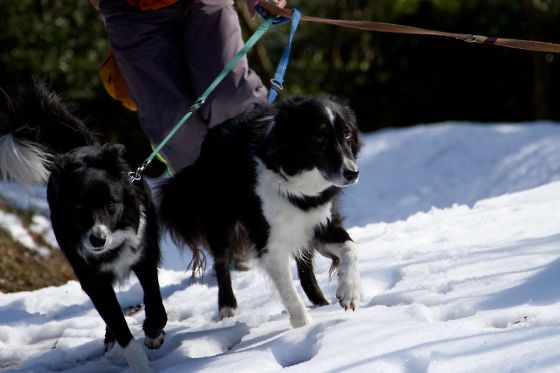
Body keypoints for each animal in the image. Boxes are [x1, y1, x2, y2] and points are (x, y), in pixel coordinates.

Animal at [0, 83, 166, 370]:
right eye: (78, 207)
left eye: (111, 204)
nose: (97, 240)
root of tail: (80, 148)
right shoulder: (92, 279)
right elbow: (119, 324)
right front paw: (140, 364)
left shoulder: (144, 254)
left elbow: (153, 298)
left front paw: (154, 332)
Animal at [160, 95, 360, 326]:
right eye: (319, 137)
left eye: (347, 134)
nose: (352, 173)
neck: (298, 182)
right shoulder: (268, 240)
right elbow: (287, 288)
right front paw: (303, 324)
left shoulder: (320, 222)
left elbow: (351, 248)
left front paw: (349, 293)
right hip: (221, 222)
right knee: (221, 262)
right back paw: (226, 308)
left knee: (305, 269)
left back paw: (321, 302)